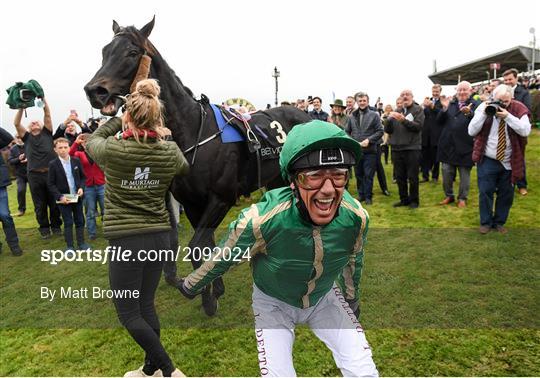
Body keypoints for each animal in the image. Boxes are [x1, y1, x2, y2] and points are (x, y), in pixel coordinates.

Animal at [85, 17, 312, 316]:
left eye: (132, 52)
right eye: (104, 51)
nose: (94, 91)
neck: (192, 131)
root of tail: (304, 113)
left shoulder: (221, 198)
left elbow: (196, 245)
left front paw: (205, 295)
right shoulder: (191, 202)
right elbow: (204, 246)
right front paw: (214, 290)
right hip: (276, 179)